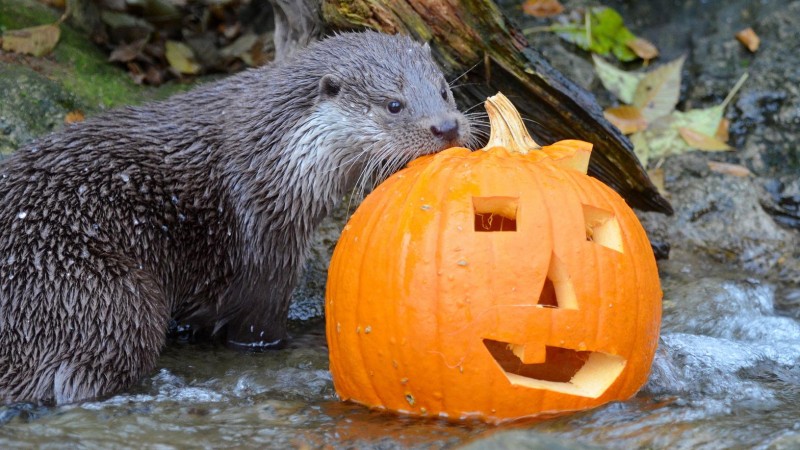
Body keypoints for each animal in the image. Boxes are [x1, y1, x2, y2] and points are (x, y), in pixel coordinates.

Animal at [0, 31, 472, 404]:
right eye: (394, 105)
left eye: (444, 91)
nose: (446, 127)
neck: (271, 158)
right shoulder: (263, 242)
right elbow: (256, 323)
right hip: (102, 296)